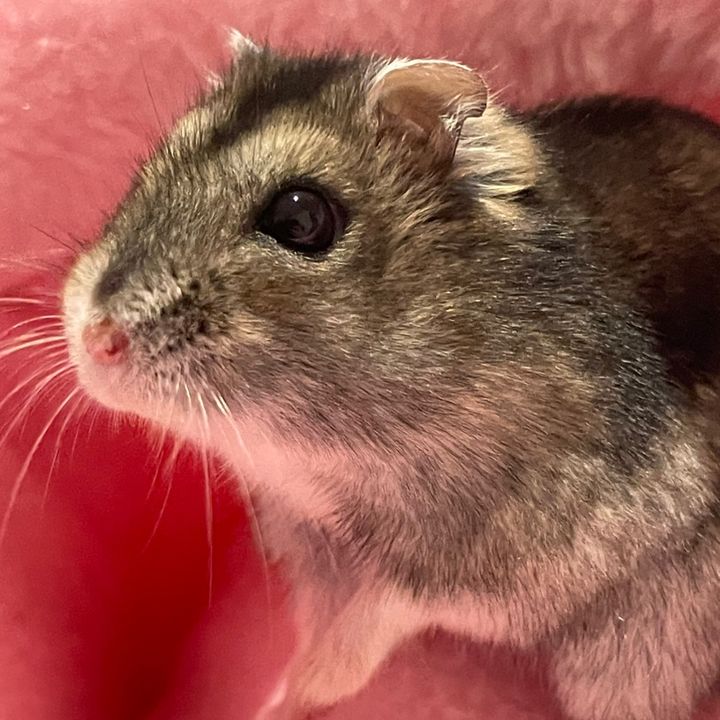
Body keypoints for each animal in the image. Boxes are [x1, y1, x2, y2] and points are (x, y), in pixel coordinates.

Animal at [62, 34, 720, 720]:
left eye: (301, 220)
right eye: (150, 167)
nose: (94, 341)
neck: (323, 462)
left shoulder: (514, 562)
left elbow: (373, 621)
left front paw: (294, 693)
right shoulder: (311, 546)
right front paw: (279, 699)